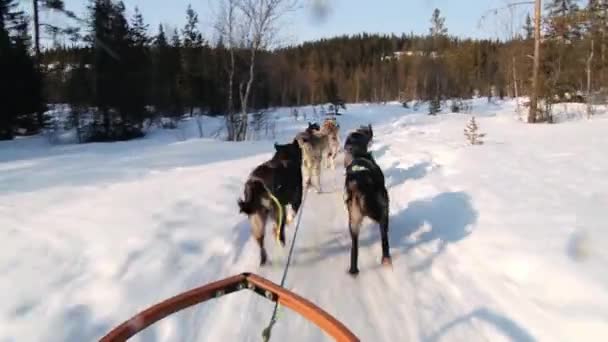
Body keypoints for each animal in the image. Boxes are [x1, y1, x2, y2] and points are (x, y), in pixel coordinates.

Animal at [342, 136, 390, 276]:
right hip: (383, 209)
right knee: (384, 240)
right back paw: (386, 260)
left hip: (353, 221)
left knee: (354, 248)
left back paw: (353, 271)